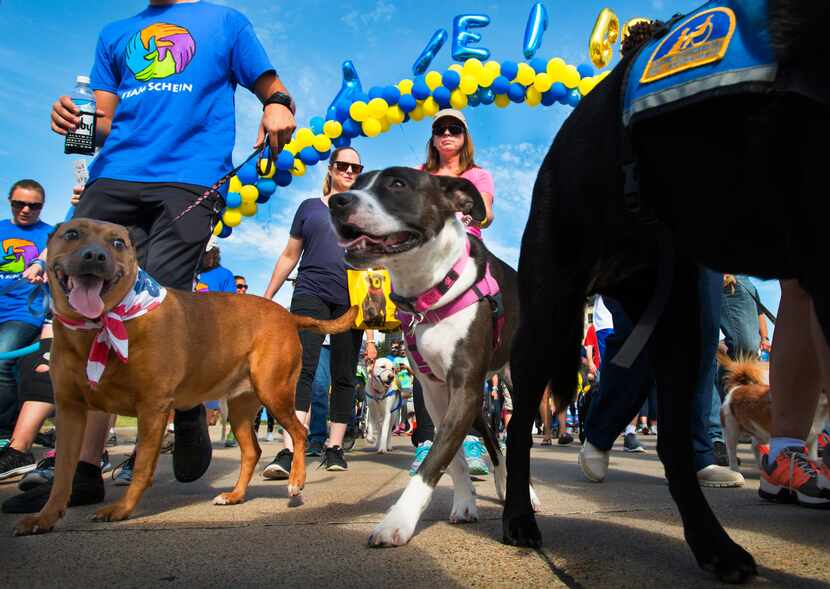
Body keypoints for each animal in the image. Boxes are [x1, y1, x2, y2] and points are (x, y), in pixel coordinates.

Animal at [13, 218, 358, 536]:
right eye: (71, 234)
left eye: (118, 243)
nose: (95, 256)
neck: (102, 324)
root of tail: (287, 315)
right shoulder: (71, 410)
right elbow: (63, 473)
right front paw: (45, 516)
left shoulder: (152, 408)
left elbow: (142, 466)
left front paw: (122, 509)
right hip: (241, 408)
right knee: (252, 451)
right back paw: (235, 495)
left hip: (274, 392)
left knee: (299, 432)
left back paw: (296, 481)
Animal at [328, 169, 544, 548]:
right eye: (357, 183)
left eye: (397, 184)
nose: (337, 201)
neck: (430, 290)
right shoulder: (438, 394)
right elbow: (450, 458)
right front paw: (465, 502)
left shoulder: (464, 390)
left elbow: (434, 461)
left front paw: (396, 520)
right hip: (477, 401)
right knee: (492, 438)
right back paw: (501, 484)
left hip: (514, 384)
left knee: (517, 435)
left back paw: (525, 495)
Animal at [504, 0, 828, 580]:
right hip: (548, 319)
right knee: (519, 425)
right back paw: (520, 516)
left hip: (677, 316)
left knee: (675, 443)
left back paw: (713, 544)